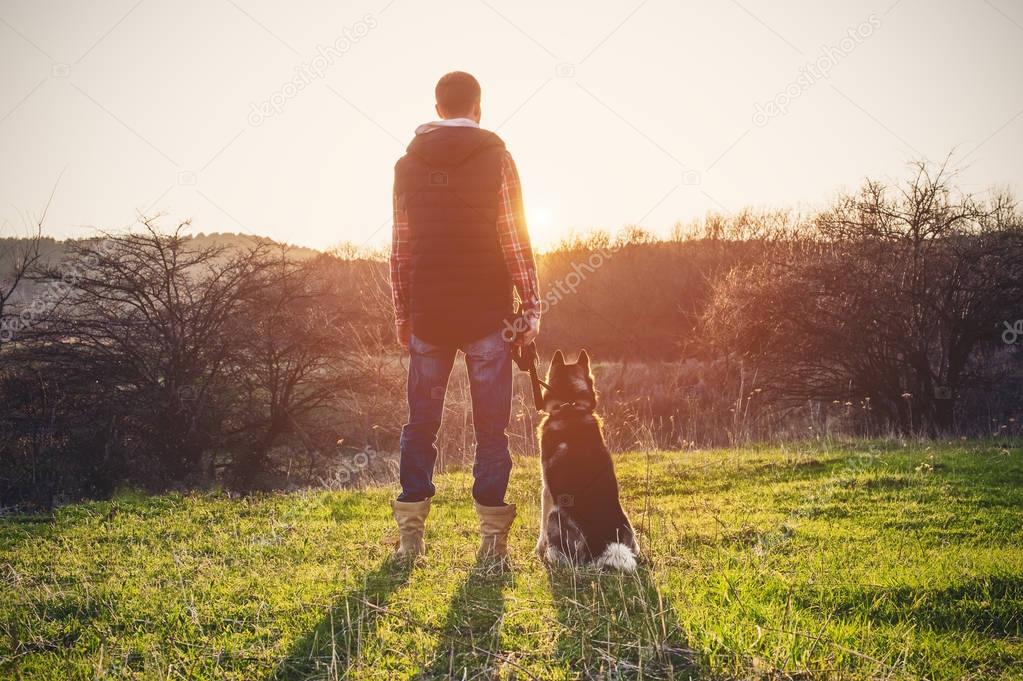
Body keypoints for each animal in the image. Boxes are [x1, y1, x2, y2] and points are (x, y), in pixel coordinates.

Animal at [540, 349, 634, 568]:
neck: (570, 405)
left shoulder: (546, 489)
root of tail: (602, 543)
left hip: (556, 515)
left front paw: (538, 549)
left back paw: (550, 557)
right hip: (628, 525)